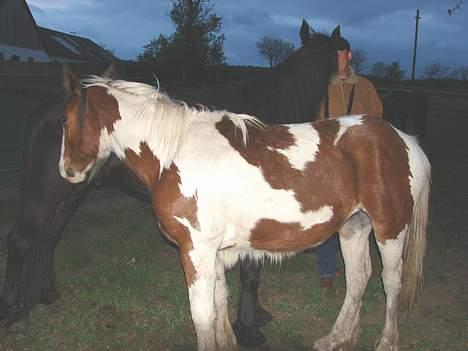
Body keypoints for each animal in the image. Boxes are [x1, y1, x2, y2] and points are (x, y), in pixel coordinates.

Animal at [0, 19, 336, 346]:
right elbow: (251, 272)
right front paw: (249, 328)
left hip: (72, 191)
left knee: (49, 237)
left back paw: (47, 294)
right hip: (48, 192)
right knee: (20, 240)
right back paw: (13, 312)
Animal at [59, 70, 432, 350]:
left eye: (65, 119)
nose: (67, 171)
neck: (174, 153)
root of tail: (403, 139)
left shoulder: (195, 250)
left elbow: (202, 315)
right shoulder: (212, 252)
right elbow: (219, 306)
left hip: (390, 229)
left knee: (391, 282)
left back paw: (386, 342)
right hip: (354, 226)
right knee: (358, 279)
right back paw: (336, 339)